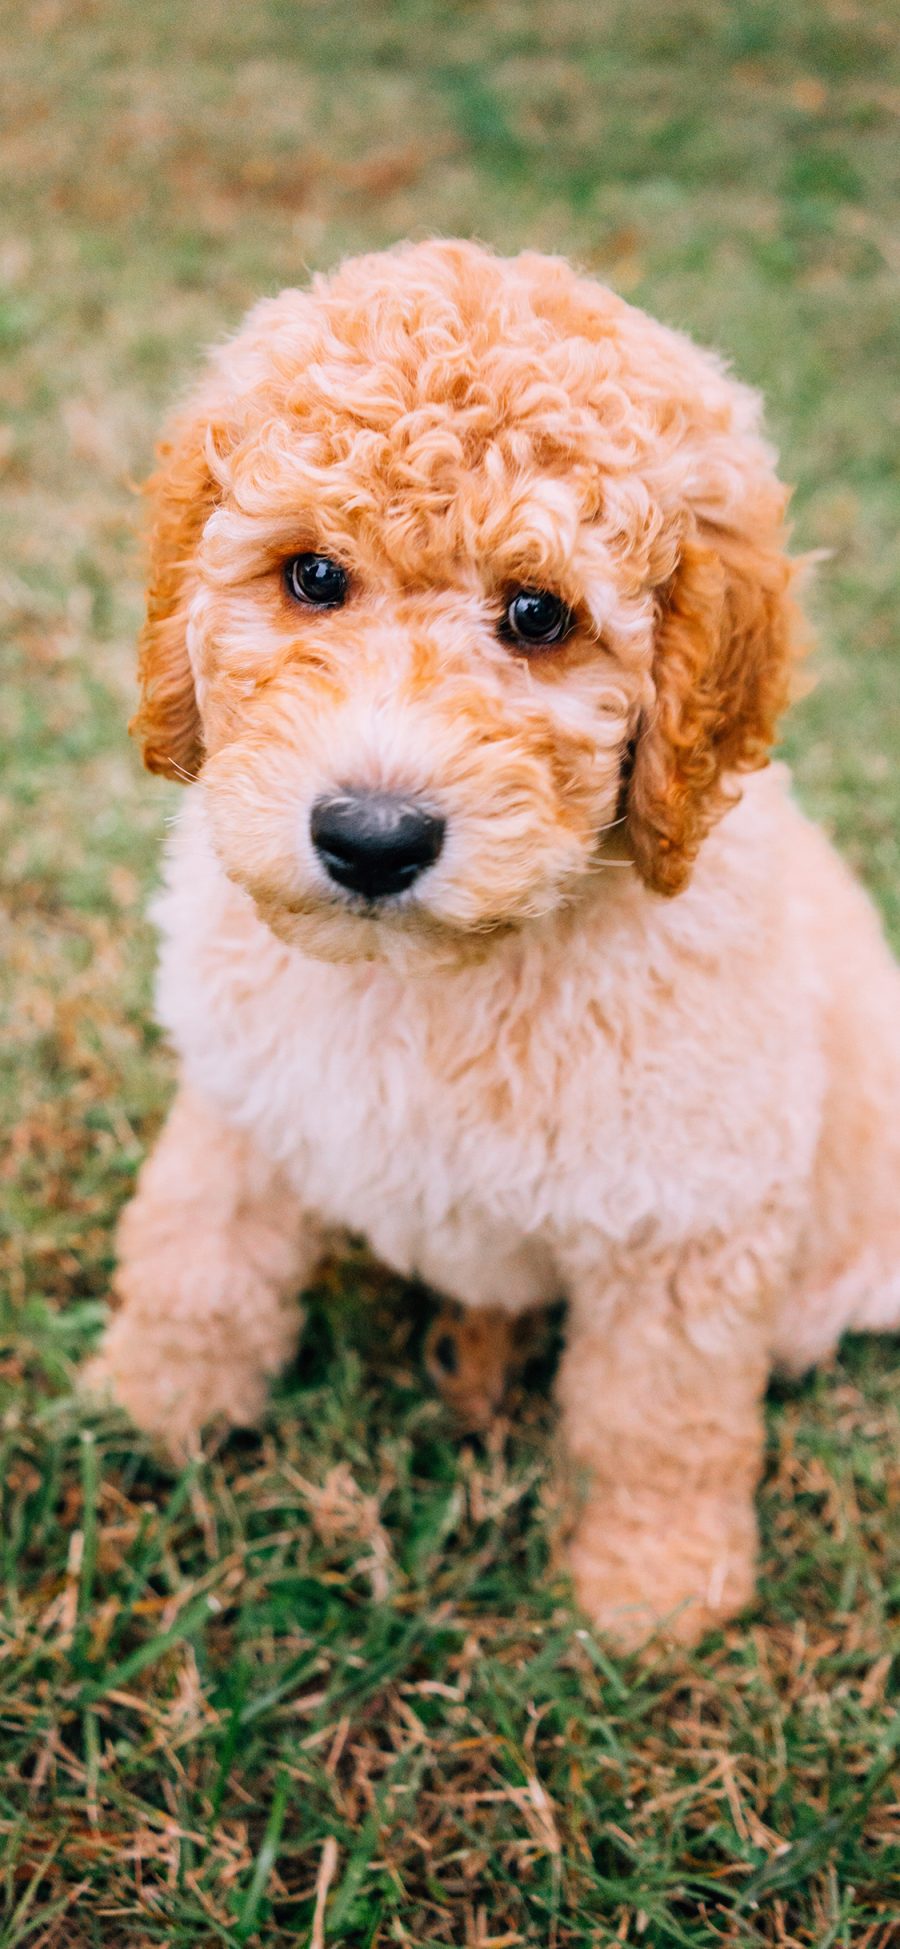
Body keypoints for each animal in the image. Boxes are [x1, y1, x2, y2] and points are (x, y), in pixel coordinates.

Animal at [89, 239, 900, 1644]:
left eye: (538, 615)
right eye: (311, 576)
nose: (371, 839)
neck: (440, 973)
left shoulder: (689, 1211)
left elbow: (659, 1415)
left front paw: (651, 1592)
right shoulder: (243, 1090)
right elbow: (197, 1253)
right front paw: (148, 1403)